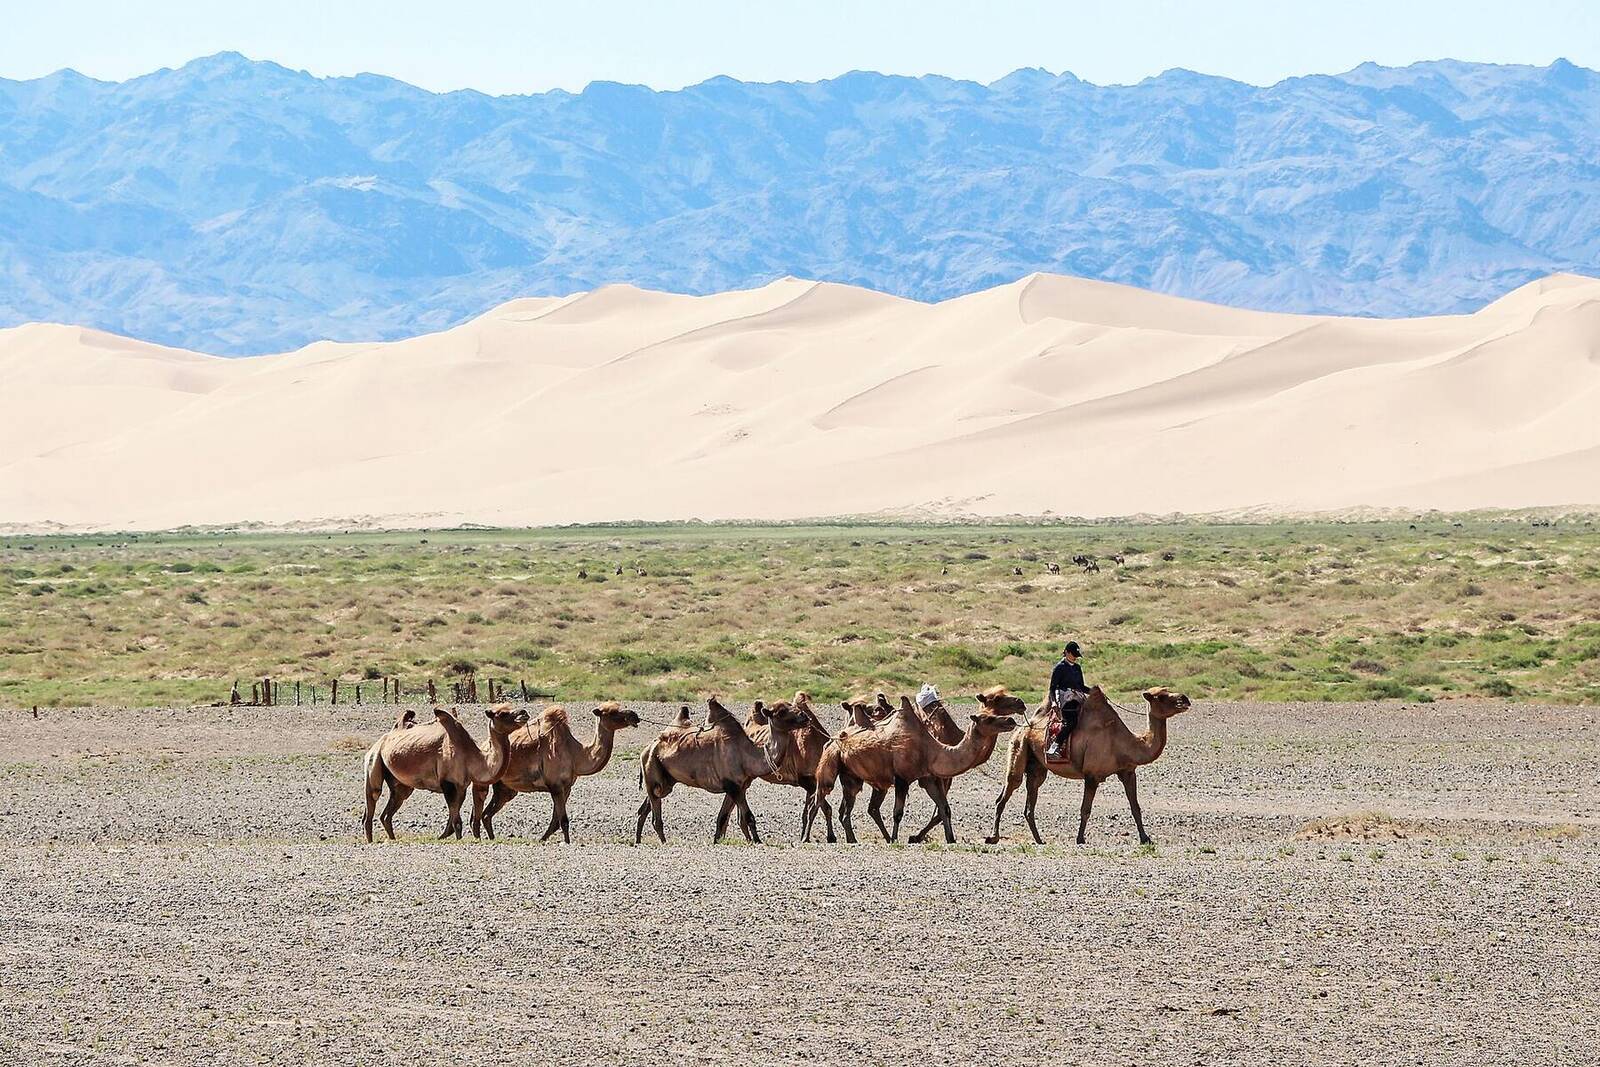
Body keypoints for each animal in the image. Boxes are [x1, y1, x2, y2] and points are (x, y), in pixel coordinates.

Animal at [362, 704, 528, 842]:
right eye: (502, 713)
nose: (524, 713)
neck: (471, 757)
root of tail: (382, 740)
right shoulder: (448, 783)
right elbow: (456, 821)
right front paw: (457, 840)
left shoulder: (461, 786)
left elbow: (453, 820)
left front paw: (441, 837)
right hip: (374, 759)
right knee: (373, 796)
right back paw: (370, 841)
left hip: (400, 783)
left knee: (390, 809)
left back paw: (392, 839)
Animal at [471, 702, 641, 842]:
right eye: (612, 712)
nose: (634, 715)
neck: (575, 755)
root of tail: (483, 746)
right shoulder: (556, 786)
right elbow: (563, 821)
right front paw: (565, 842)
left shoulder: (566, 787)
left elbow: (555, 821)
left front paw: (542, 840)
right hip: (484, 781)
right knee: (478, 812)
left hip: (505, 787)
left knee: (487, 814)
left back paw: (491, 838)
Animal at [635, 697, 810, 844]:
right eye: (781, 712)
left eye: (791, 705)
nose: (805, 717)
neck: (747, 756)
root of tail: (647, 748)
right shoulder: (733, 786)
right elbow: (748, 816)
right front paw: (758, 841)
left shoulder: (737, 786)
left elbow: (722, 818)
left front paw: (717, 841)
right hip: (652, 770)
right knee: (655, 813)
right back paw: (663, 842)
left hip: (666, 780)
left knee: (645, 808)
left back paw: (638, 841)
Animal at [806, 687, 1023, 844]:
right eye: (989, 718)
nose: (1011, 719)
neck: (931, 749)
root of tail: (833, 738)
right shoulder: (902, 778)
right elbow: (898, 813)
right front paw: (896, 839)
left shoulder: (928, 778)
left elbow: (944, 808)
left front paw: (950, 839)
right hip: (830, 762)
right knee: (818, 799)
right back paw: (809, 837)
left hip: (852, 776)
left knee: (846, 809)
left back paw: (852, 840)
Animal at [986, 686, 1190, 846]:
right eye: (1161, 696)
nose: (1185, 699)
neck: (1123, 743)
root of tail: (1024, 727)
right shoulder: (1092, 775)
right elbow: (1085, 809)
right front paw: (1080, 839)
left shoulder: (1127, 771)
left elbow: (1135, 807)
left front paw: (1145, 838)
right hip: (1018, 747)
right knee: (1006, 792)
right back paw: (993, 837)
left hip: (1037, 766)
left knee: (1031, 799)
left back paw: (1039, 840)